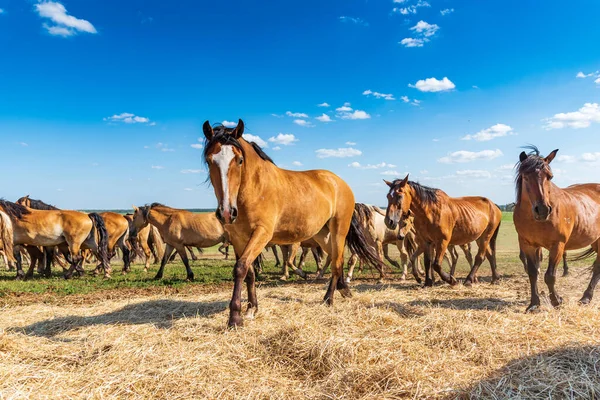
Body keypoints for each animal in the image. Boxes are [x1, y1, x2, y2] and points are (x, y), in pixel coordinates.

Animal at [512, 145, 600, 310]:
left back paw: (586, 297)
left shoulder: (557, 245)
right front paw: (534, 304)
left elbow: (550, 276)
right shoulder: (527, 245)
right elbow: (533, 273)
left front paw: (556, 300)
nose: (542, 210)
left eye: (550, 177)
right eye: (525, 177)